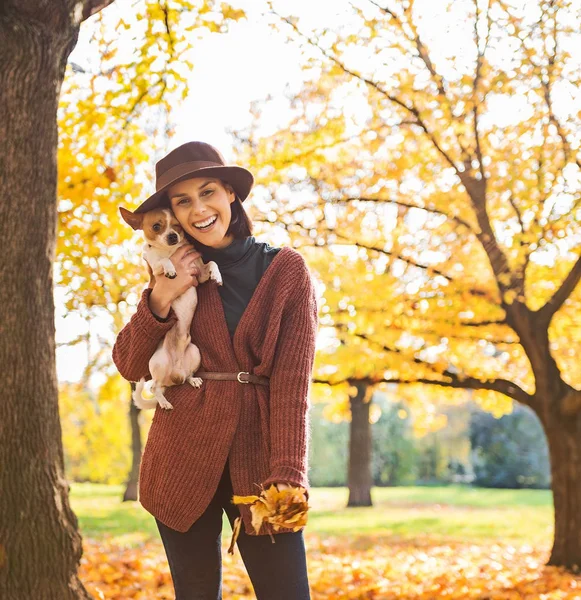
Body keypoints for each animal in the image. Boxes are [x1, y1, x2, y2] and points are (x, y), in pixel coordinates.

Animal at [118, 205, 222, 408]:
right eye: (156, 226)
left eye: (177, 226)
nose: (173, 236)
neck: (170, 250)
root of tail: (174, 376)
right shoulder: (156, 269)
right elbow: (163, 262)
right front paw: (171, 269)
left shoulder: (199, 274)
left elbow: (212, 263)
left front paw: (217, 275)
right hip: (158, 362)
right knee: (153, 387)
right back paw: (164, 402)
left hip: (194, 352)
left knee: (186, 376)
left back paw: (192, 380)